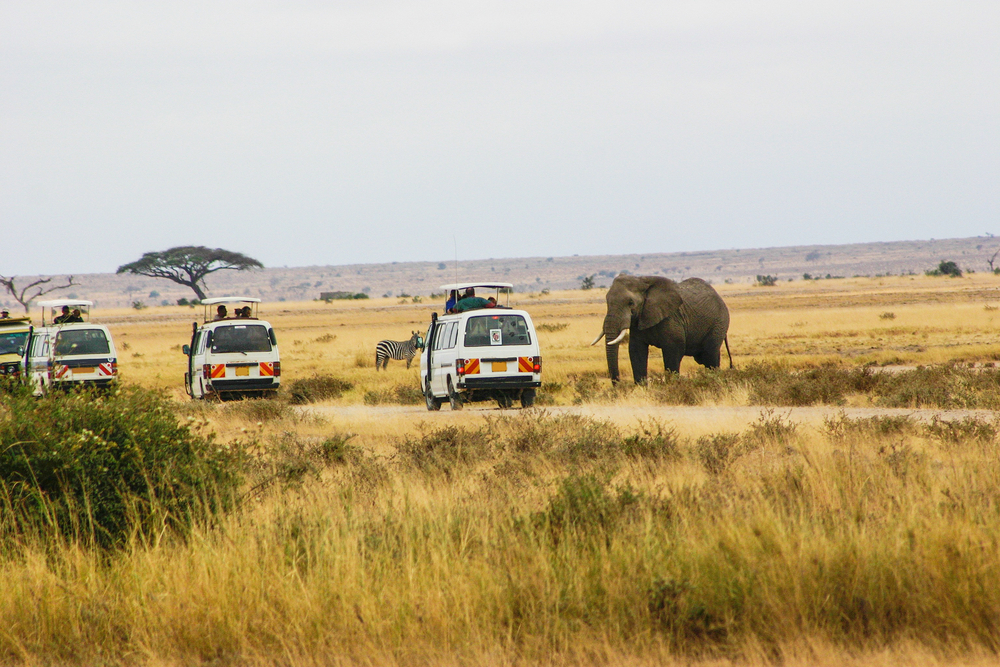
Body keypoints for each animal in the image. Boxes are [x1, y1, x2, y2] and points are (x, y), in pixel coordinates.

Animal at [588, 274, 732, 384]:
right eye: (607, 301)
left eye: (630, 303)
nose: (617, 385)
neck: (642, 281)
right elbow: (636, 351)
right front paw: (641, 389)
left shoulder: (671, 318)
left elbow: (673, 351)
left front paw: (672, 386)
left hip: (719, 323)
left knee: (710, 356)